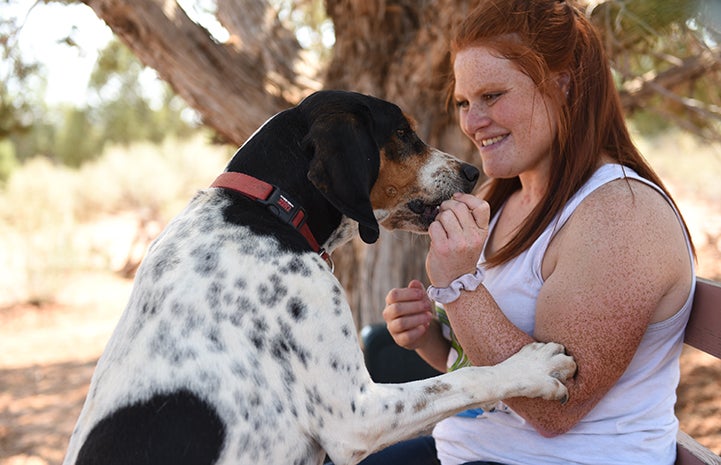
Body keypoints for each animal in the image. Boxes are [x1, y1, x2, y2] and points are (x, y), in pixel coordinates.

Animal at [64, 90, 576, 464]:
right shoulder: (356, 414)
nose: (471, 171)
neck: (269, 208)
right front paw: (532, 368)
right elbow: (462, 378)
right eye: (403, 133)